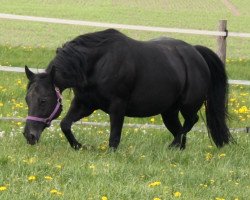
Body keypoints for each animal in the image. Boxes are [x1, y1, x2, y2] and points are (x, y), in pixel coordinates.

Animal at [23, 28, 232, 150]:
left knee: (190, 122)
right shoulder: (84, 104)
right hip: (168, 112)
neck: (96, 63)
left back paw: (172, 146)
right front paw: (79, 146)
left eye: (43, 100)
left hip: (188, 106)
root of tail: (196, 53)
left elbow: (114, 136)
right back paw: (177, 149)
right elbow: (65, 124)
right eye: (27, 99)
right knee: (180, 129)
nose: (29, 135)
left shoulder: (118, 105)